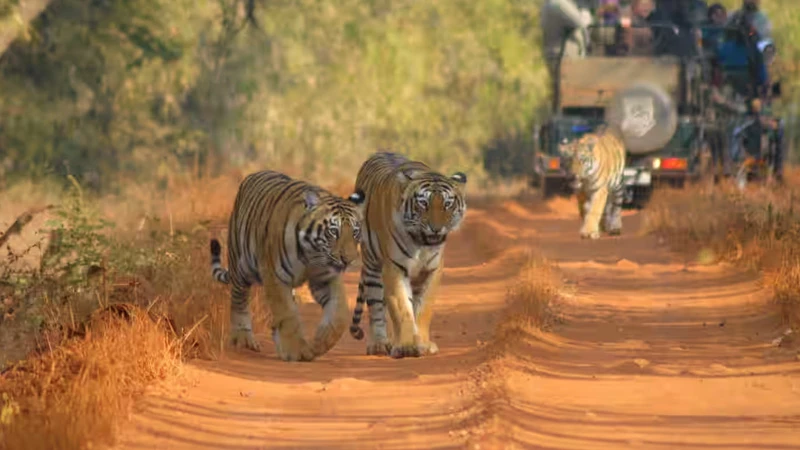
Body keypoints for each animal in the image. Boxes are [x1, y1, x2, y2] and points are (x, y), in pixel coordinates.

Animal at [209, 170, 365, 362]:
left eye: (355, 232)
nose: (349, 260)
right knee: (239, 299)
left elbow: (340, 313)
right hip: (241, 264)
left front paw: (319, 342)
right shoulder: (275, 277)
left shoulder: (325, 277)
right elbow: (287, 312)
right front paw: (297, 351)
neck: (312, 254)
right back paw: (243, 339)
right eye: (334, 231)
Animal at [348, 152, 467, 359]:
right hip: (372, 266)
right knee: (377, 306)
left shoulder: (432, 270)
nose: (436, 228)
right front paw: (406, 347)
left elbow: (424, 308)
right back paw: (380, 344)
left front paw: (423, 344)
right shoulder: (394, 268)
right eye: (423, 203)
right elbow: (402, 308)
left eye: (447, 204)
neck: (421, 243)